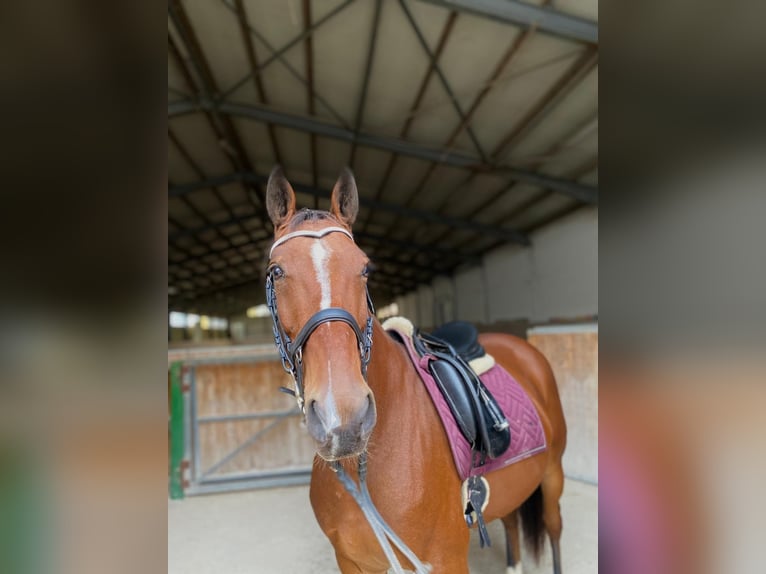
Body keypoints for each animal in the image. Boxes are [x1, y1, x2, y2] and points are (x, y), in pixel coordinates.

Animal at [264, 165, 567, 574]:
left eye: (365, 268)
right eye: (276, 271)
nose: (343, 420)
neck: (366, 467)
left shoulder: (445, 560)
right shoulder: (352, 561)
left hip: (552, 475)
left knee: (553, 529)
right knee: (513, 528)